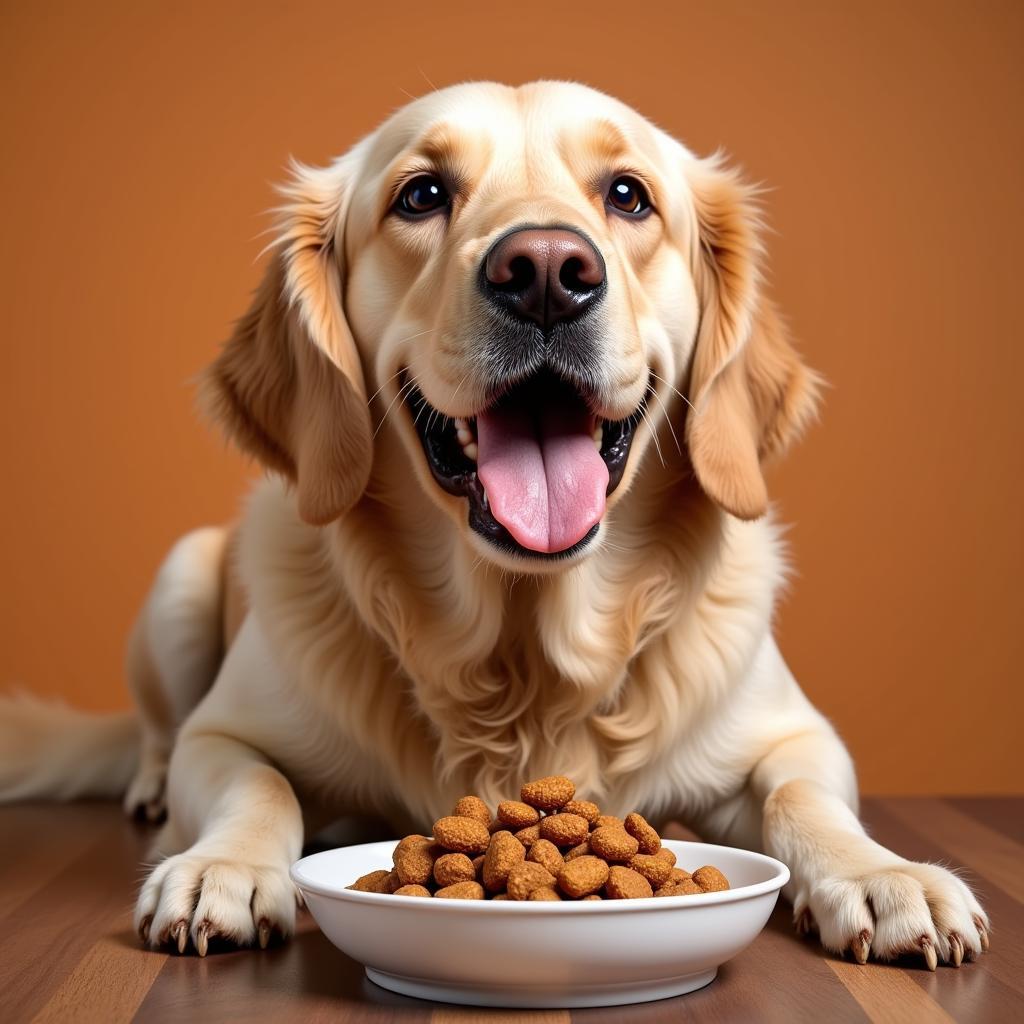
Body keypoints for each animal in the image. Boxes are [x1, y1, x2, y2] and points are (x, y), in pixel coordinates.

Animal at [2, 81, 991, 966]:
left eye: (628, 194)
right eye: (422, 194)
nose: (547, 272)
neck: (521, 659)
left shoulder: (795, 735)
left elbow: (806, 800)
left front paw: (884, 874)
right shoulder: (226, 733)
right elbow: (259, 785)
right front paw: (224, 867)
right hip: (179, 580)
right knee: (158, 736)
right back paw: (143, 787)